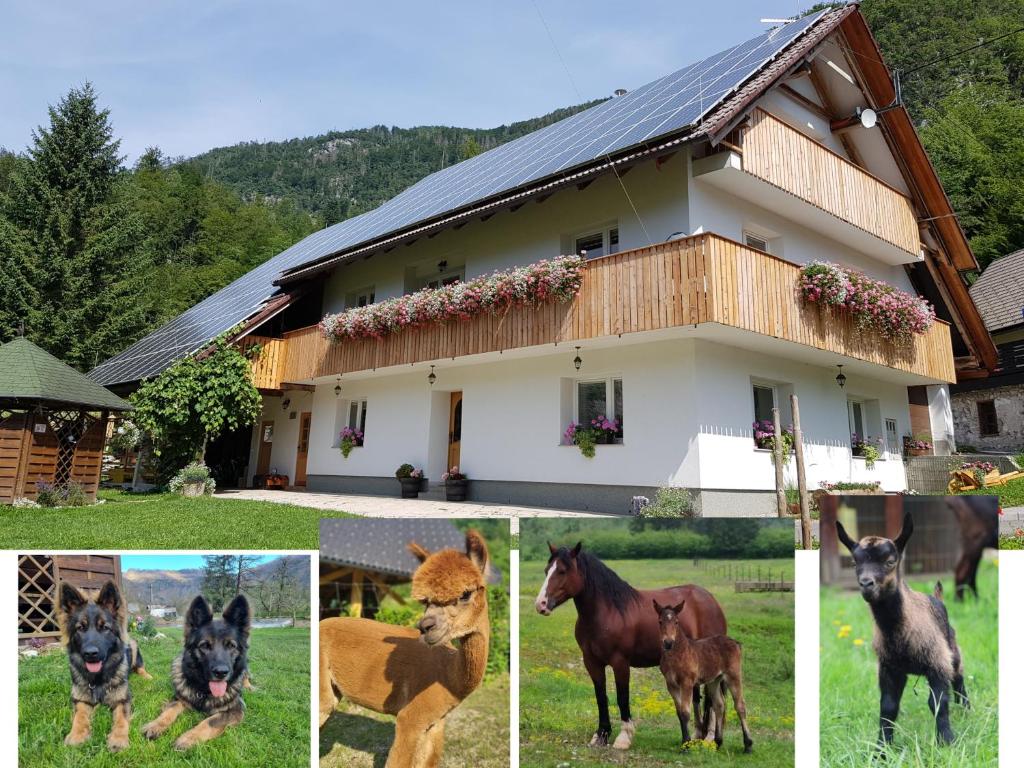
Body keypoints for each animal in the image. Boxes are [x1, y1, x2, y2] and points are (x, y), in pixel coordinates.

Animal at [57, 581, 151, 753]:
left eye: (105, 628)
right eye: (80, 628)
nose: (90, 653)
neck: (98, 679)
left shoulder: (123, 699)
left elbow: (121, 719)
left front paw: (118, 739)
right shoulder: (80, 700)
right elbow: (79, 717)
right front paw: (77, 735)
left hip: (133, 644)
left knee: (140, 667)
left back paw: (148, 676)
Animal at [142, 593, 251, 753]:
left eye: (231, 646)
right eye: (204, 646)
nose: (221, 672)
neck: (204, 692)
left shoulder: (236, 709)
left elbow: (210, 722)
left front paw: (187, 738)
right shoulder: (179, 699)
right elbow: (170, 710)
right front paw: (155, 725)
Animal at [536, 540, 729, 753]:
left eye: (562, 571)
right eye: (546, 570)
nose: (541, 604)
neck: (608, 612)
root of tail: (710, 600)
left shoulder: (620, 663)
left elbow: (622, 697)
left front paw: (624, 738)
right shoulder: (592, 662)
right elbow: (600, 696)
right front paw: (601, 735)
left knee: (713, 699)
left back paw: (709, 739)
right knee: (698, 697)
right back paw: (696, 737)